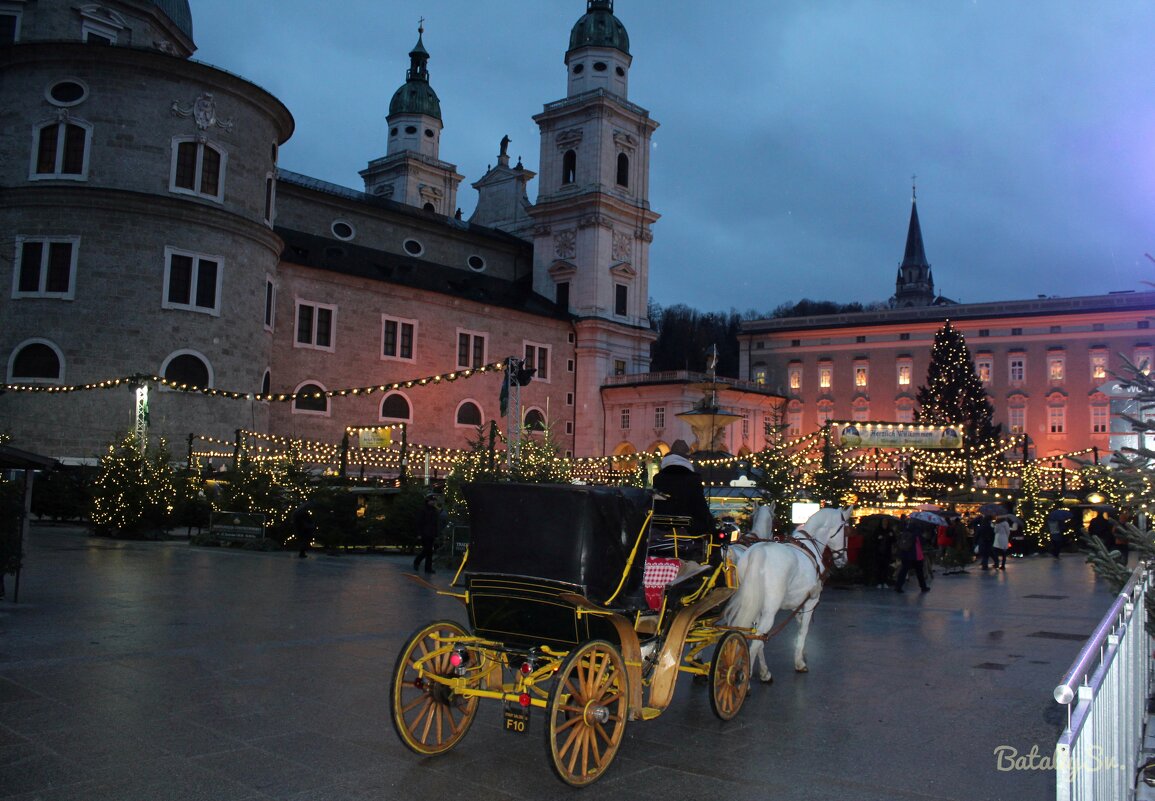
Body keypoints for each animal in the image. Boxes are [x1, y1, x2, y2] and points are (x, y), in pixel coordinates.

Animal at [720, 507, 850, 683]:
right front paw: (800, 662)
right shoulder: (810, 603)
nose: (843, 559)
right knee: (756, 641)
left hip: (754, 606)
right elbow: (803, 630)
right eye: (847, 531)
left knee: (755, 638)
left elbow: (798, 626)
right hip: (769, 612)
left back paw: (763, 672)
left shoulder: (797, 604)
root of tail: (759, 552)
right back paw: (744, 679)